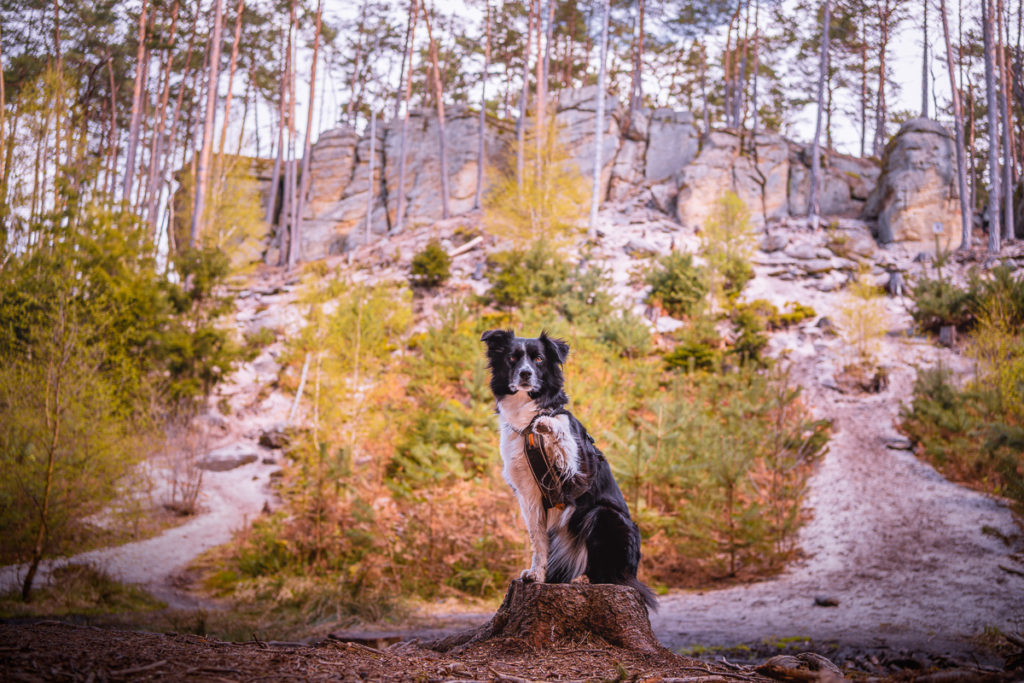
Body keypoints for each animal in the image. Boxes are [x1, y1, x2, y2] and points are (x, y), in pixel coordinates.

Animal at [481, 327, 655, 606]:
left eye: (539, 359)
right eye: (512, 358)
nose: (525, 373)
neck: (526, 420)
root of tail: (633, 571)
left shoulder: (578, 472)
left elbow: (563, 438)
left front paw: (547, 424)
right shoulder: (528, 494)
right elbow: (538, 540)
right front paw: (536, 574)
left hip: (604, 515)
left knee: (612, 574)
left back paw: (587, 579)